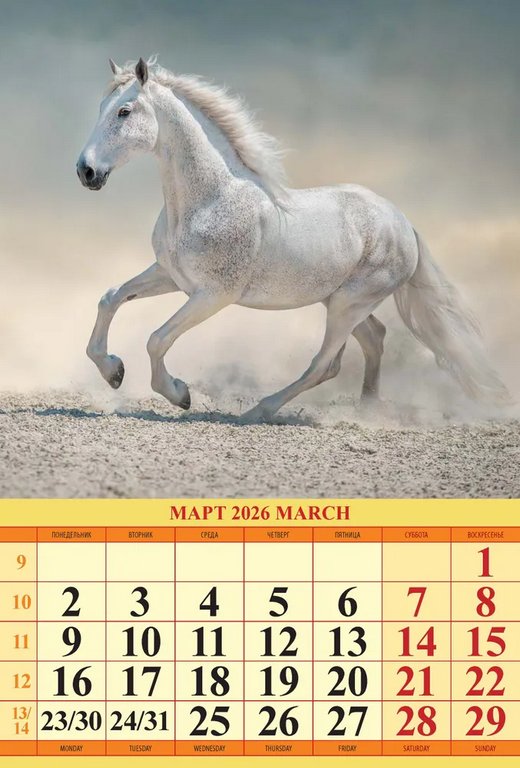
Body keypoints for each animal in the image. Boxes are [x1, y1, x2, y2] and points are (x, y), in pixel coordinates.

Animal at [76, 57, 509, 421]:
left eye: (124, 111)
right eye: (100, 108)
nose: (86, 171)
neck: (209, 200)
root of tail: (403, 223)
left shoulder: (213, 295)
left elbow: (156, 339)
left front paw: (179, 394)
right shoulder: (171, 275)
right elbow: (110, 297)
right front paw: (113, 371)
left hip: (349, 305)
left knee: (325, 363)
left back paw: (260, 411)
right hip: (340, 301)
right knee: (374, 339)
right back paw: (368, 409)